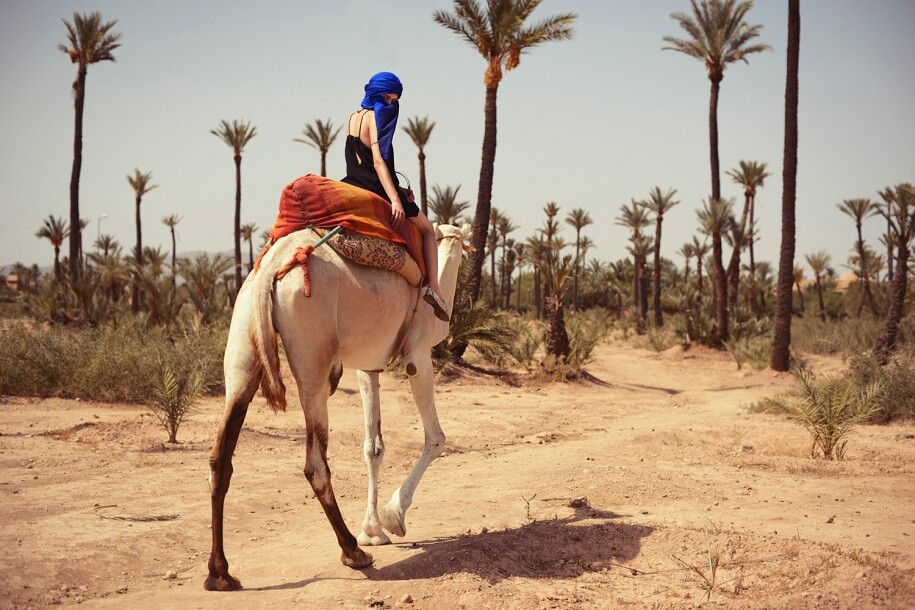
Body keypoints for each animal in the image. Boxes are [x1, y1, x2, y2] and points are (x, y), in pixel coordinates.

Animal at [203, 221, 468, 588]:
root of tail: (271, 269)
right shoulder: (418, 355)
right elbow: (436, 439)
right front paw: (393, 518)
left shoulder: (369, 364)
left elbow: (373, 447)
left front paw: (373, 530)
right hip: (313, 355)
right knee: (315, 465)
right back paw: (353, 553)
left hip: (242, 345)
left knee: (220, 458)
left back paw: (220, 573)